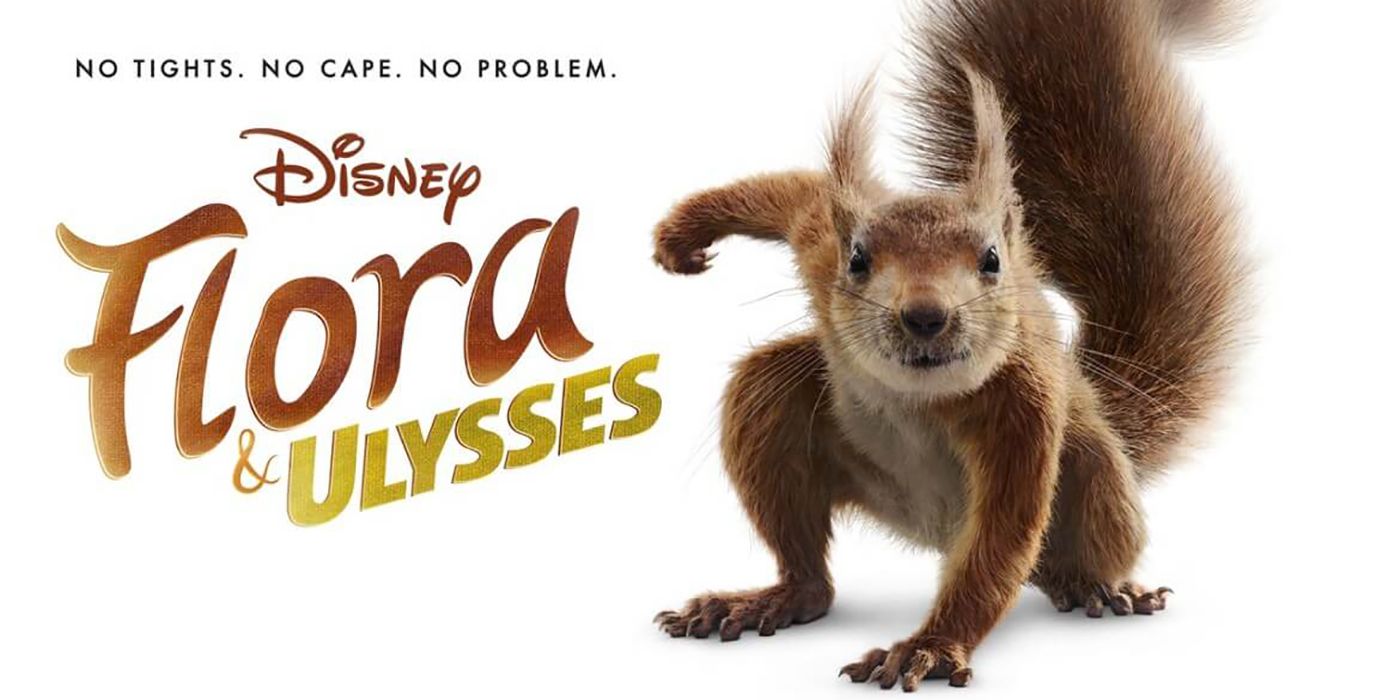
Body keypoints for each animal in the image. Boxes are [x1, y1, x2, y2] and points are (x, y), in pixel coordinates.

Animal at [650, 0, 1247, 691]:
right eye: (858, 259)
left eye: (992, 260)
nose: (926, 316)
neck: (920, 397)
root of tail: (929, 528)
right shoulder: (816, 238)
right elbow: (791, 191)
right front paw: (684, 232)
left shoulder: (1025, 407)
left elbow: (1002, 537)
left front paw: (930, 647)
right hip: (780, 406)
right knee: (810, 571)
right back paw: (766, 600)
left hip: (1096, 474)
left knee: (1053, 555)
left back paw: (1096, 586)